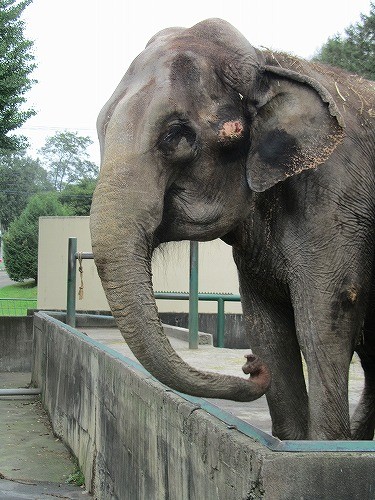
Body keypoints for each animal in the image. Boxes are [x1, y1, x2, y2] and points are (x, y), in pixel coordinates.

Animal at [89, 18, 374, 442]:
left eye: (177, 134)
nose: (249, 366)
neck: (268, 61)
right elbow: (267, 329)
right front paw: (288, 438)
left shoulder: (336, 203)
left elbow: (322, 323)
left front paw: (325, 447)